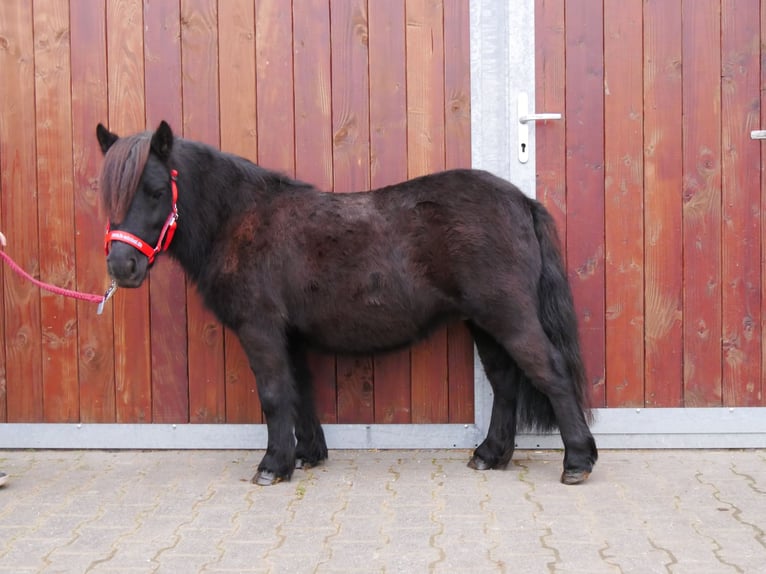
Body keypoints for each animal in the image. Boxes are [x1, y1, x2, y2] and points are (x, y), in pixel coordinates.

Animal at [97, 120, 600, 486]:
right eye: (108, 196)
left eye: (156, 191)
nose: (123, 266)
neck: (239, 219)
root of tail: (520, 200)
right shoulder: (289, 335)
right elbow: (299, 391)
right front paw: (306, 455)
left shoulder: (261, 329)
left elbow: (274, 395)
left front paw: (272, 465)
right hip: (484, 321)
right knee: (505, 382)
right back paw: (491, 455)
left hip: (509, 316)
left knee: (550, 373)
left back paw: (577, 460)